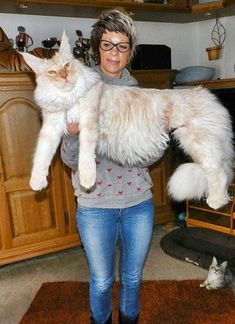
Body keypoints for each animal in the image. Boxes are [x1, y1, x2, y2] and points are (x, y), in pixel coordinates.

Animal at [21, 33, 233, 210]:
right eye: (51, 72)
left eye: (66, 66)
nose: (64, 76)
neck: (68, 99)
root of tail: (207, 95)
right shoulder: (50, 127)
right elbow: (41, 155)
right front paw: (37, 181)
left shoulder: (89, 123)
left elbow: (85, 156)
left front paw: (87, 179)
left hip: (199, 142)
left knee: (218, 174)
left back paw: (216, 201)